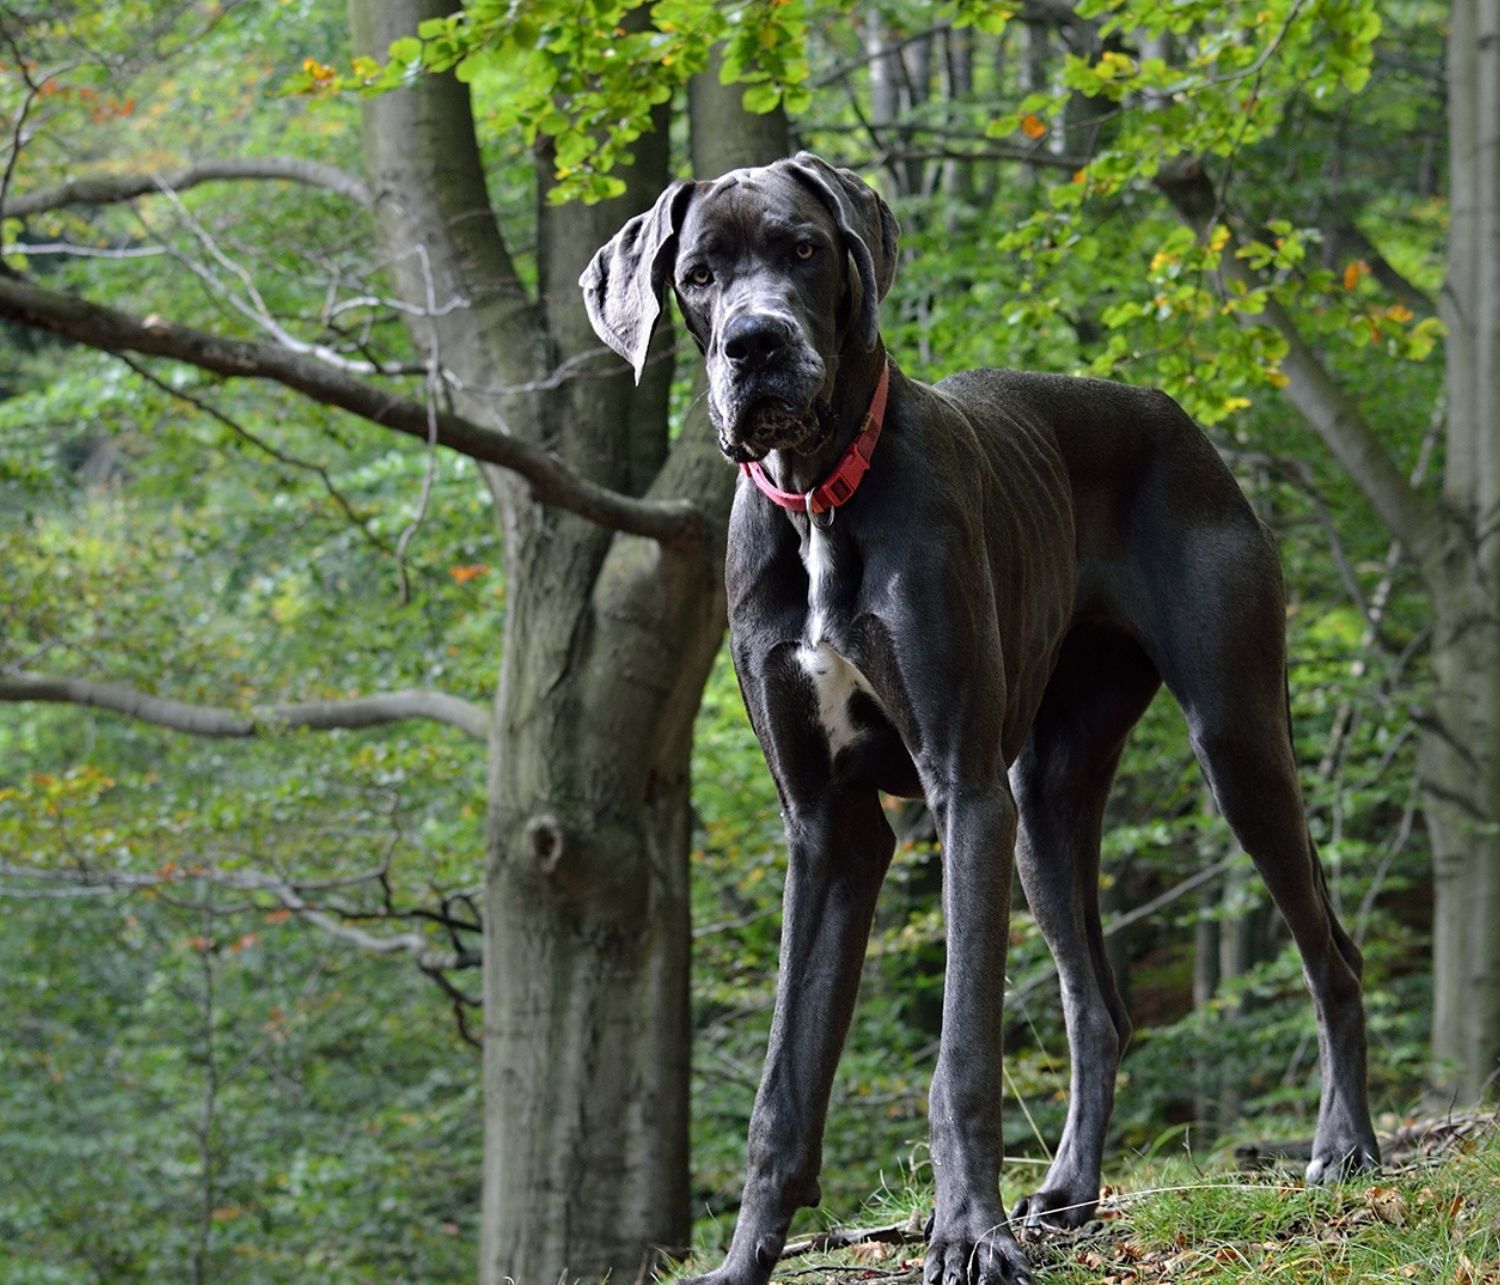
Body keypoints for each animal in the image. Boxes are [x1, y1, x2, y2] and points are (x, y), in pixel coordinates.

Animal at [579, 152, 1374, 1283]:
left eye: (803, 249)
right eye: (697, 275)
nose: (756, 343)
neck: (820, 500)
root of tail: (1171, 413)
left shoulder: (961, 791)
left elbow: (961, 1054)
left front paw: (966, 1237)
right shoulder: (827, 829)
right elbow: (784, 1084)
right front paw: (743, 1260)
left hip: (1233, 741)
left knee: (1330, 956)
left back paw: (1343, 1146)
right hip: (1043, 806)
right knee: (1098, 1007)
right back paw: (1071, 1190)